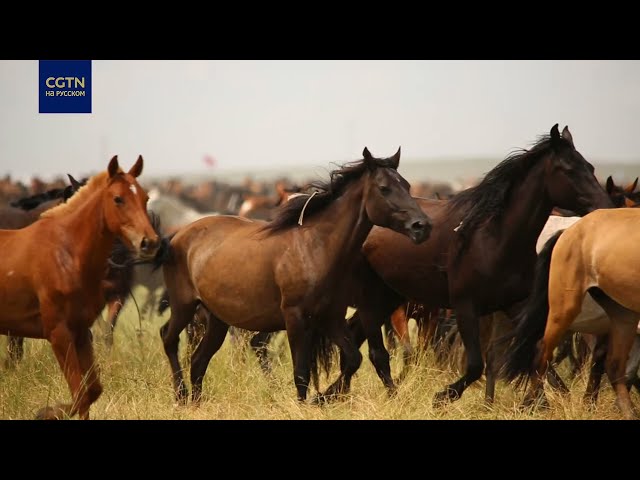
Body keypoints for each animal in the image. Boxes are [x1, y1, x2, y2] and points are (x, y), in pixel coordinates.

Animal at [0, 158, 159, 420]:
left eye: (146, 198)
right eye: (118, 198)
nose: (149, 242)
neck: (66, 253)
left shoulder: (81, 330)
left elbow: (91, 390)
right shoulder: (57, 332)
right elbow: (81, 392)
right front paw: (46, 412)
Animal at [153, 148, 432, 404]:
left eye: (407, 185)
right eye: (384, 188)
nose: (422, 226)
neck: (315, 247)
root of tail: (177, 236)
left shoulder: (331, 316)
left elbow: (353, 358)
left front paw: (323, 398)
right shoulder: (295, 318)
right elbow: (301, 372)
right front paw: (310, 402)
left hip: (217, 319)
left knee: (199, 360)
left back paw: (195, 401)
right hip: (184, 305)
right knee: (168, 337)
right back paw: (180, 395)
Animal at [330, 125, 616, 404]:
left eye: (590, 168)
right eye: (568, 170)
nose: (605, 208)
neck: (494, 238)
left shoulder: (515, 305)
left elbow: (533, 355)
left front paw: (546, 400)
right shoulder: (465, 306)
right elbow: (476, 365)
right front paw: (443, 397)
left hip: (389, 296)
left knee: (357, 339)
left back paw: (335, 392)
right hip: (372, 300)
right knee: (376, 353)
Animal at [502, 208, 640, 418]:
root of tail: (568, 232)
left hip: (624, 314)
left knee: (615, 366)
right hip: (564, 308)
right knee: (541, 353)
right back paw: (532, 406)